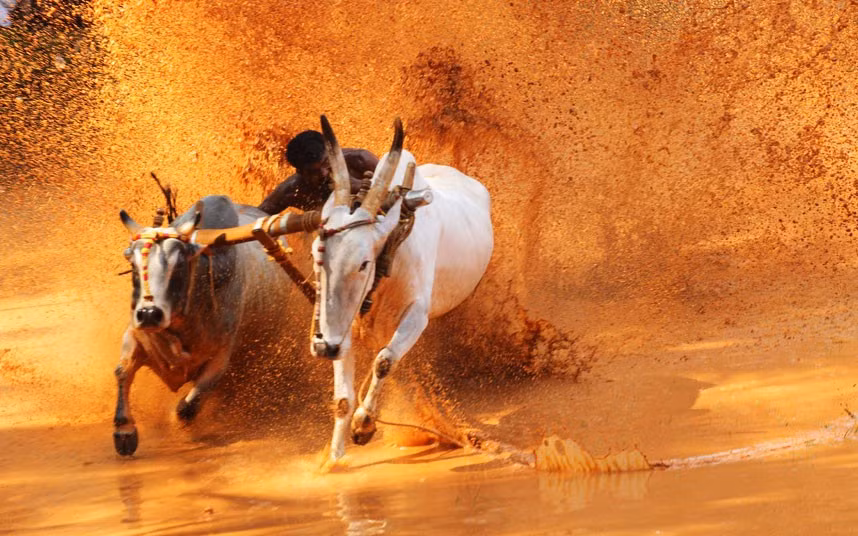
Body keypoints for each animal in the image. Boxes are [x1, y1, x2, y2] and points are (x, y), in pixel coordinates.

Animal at [113, 195, 306, 456]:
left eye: (179, 265)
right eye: (132, 263)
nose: (149, 314)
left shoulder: (221, 357)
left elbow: (187, 407)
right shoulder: (135, 335)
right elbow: (122, 372)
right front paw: (124, 431)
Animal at [310, 116, 494, 470]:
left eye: (363, 263)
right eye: (318, 254)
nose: (324, 346)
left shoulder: (417, 315)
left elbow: (384, 361)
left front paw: (364, 425)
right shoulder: (345, 327)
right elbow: (342, 399)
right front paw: (334, 458)